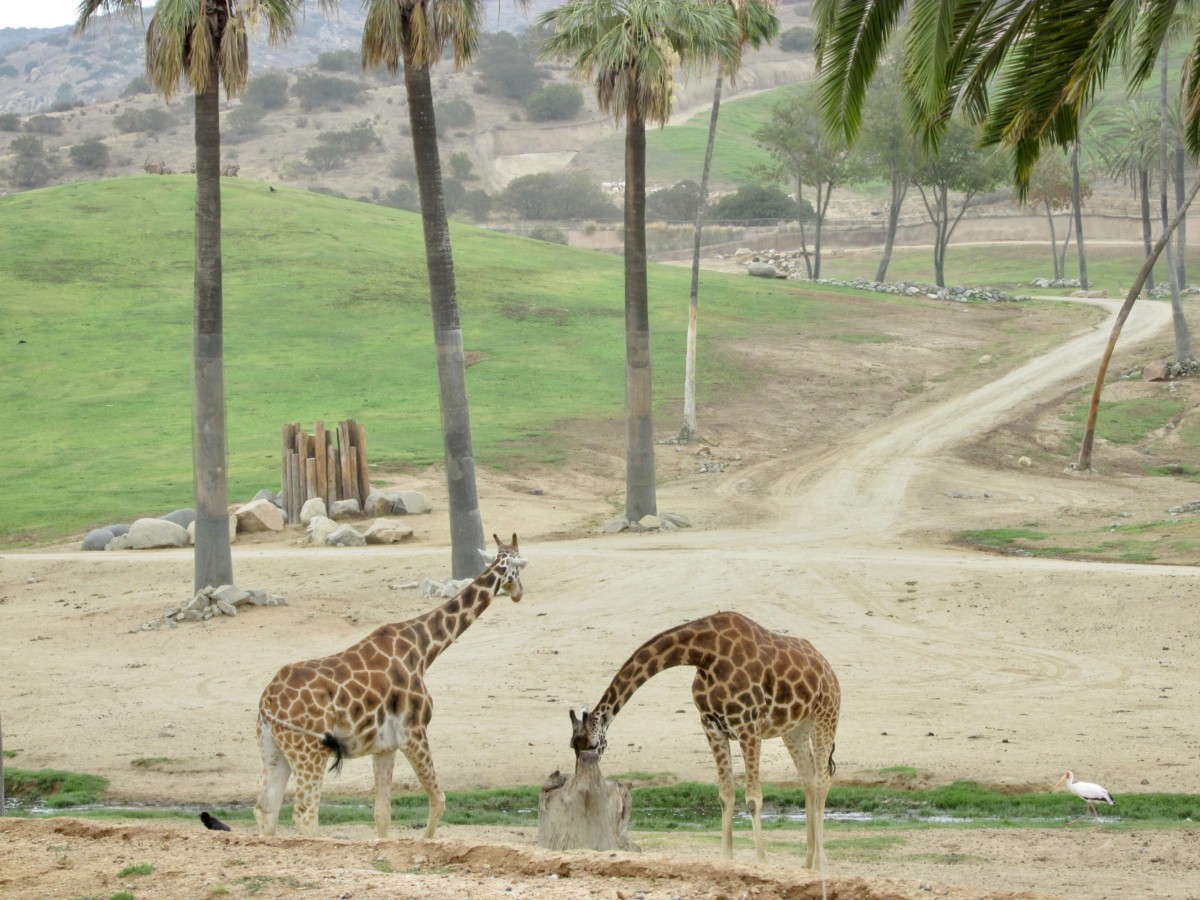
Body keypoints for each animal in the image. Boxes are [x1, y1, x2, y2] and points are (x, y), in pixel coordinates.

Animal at [255, 535, 528, 840]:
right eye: (519, 569)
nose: (519, 593)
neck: (423, 649)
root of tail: (267, 701)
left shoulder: (385, 747)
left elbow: (382, 814)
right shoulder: (413, 733)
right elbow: (439, 800)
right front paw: (427, 841)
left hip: (274, 750)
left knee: (266, 808)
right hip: (310, 752)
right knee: (305, 812)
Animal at [568, 609, 835, 868]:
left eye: (593, 745)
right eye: (573, 746)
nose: (577, 781)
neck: (704, 654)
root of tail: (827, 667)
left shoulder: (748, 725)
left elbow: (753, 799)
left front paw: (761, 862)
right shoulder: (712, 727)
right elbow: (725, 796)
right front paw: (726, 859)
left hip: (826, 715)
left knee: (822, 780)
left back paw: (820, 863)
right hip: (795, 729)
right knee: (808, 778)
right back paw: (807, 862)